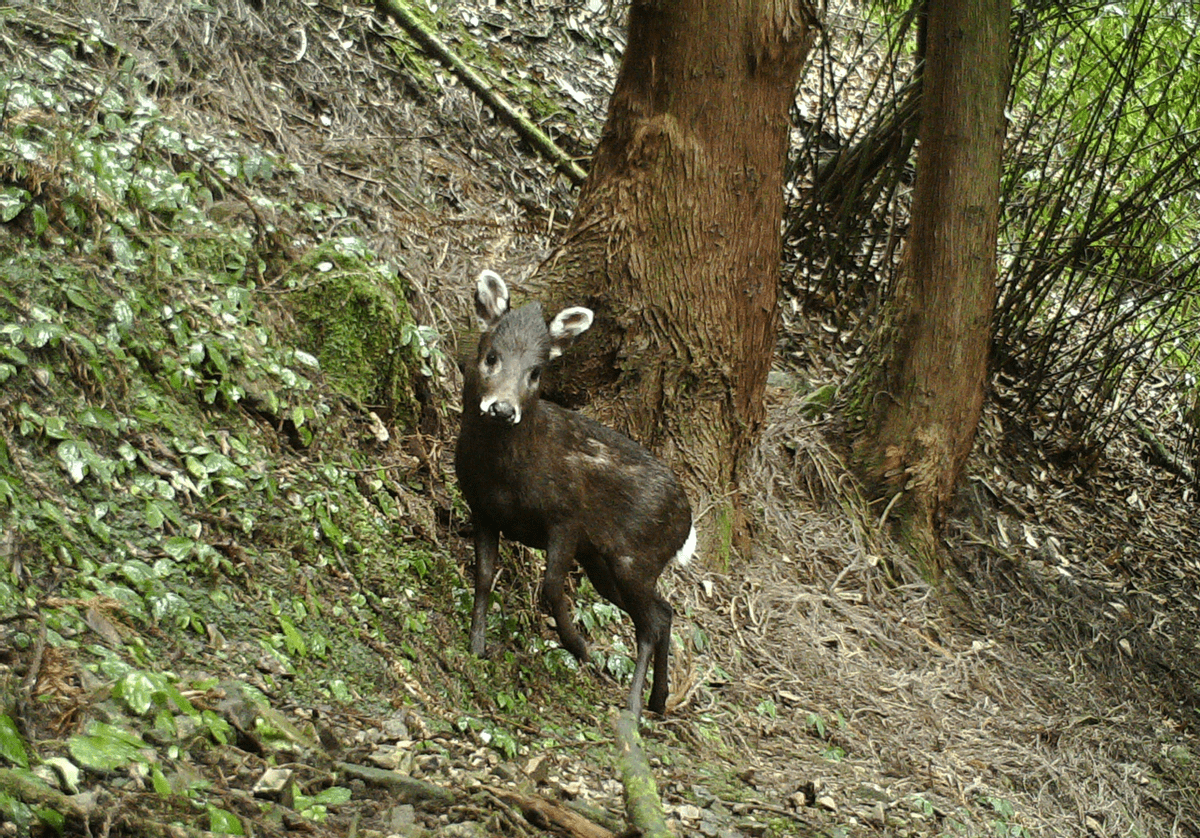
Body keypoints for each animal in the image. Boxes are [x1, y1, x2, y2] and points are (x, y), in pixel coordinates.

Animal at [451, 268, 696, 720]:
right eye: (491, 357)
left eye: (536, 372)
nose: (502, 409)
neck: (503, 476)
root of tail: (688, 525)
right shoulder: (483, 510)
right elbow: (483, 577)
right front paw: (476, 645)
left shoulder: (565, 518)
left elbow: (550, 586)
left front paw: (579, 646)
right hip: (605, 564)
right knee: (664, 612)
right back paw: (658, 700)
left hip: (635, 559)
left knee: (651, 622)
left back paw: (633, 706)